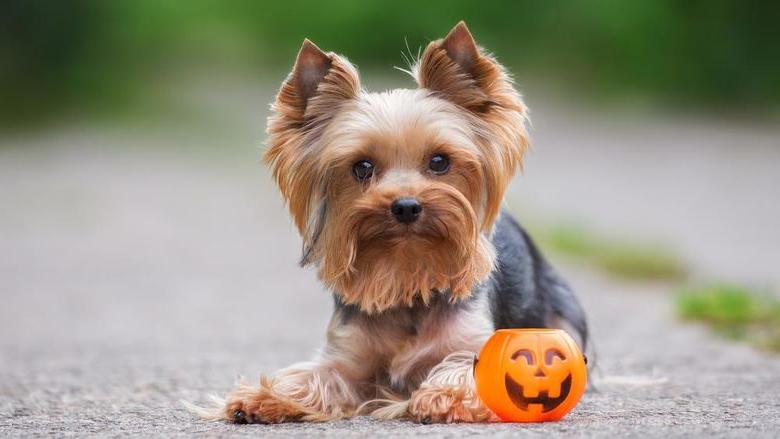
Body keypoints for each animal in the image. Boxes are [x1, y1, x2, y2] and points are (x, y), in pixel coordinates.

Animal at [212, 21, 584, 426]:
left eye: (439, 161)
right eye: (361, 167)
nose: (405, 206)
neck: (406, 273)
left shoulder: (474, 341)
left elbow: (469, 369)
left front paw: (443, 396)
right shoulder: (347, 355)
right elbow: (316, 377)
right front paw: (263, 397)